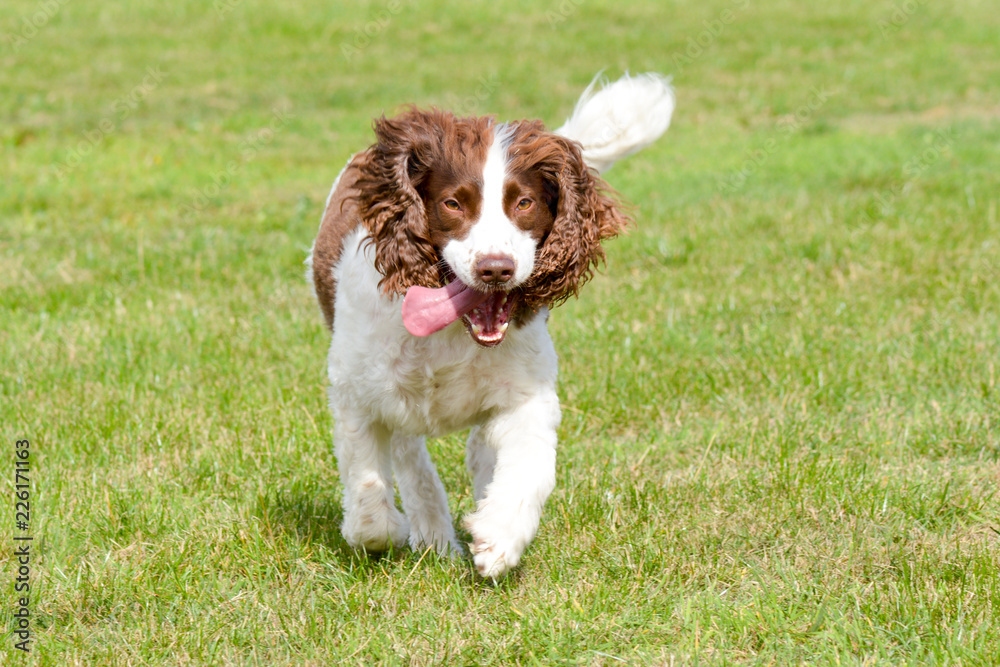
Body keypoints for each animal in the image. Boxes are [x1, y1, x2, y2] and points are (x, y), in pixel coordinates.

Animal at [308, 73, 676, 580]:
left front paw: (498, 536)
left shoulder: (528, 394)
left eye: (523, 202)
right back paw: (433, 535)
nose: (496, 269)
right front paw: (391, 529)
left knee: (479, 448)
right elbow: (368, 495)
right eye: (452, 204)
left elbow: (530, 467)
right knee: (409, 454)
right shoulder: (355, 391)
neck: (452, 332)